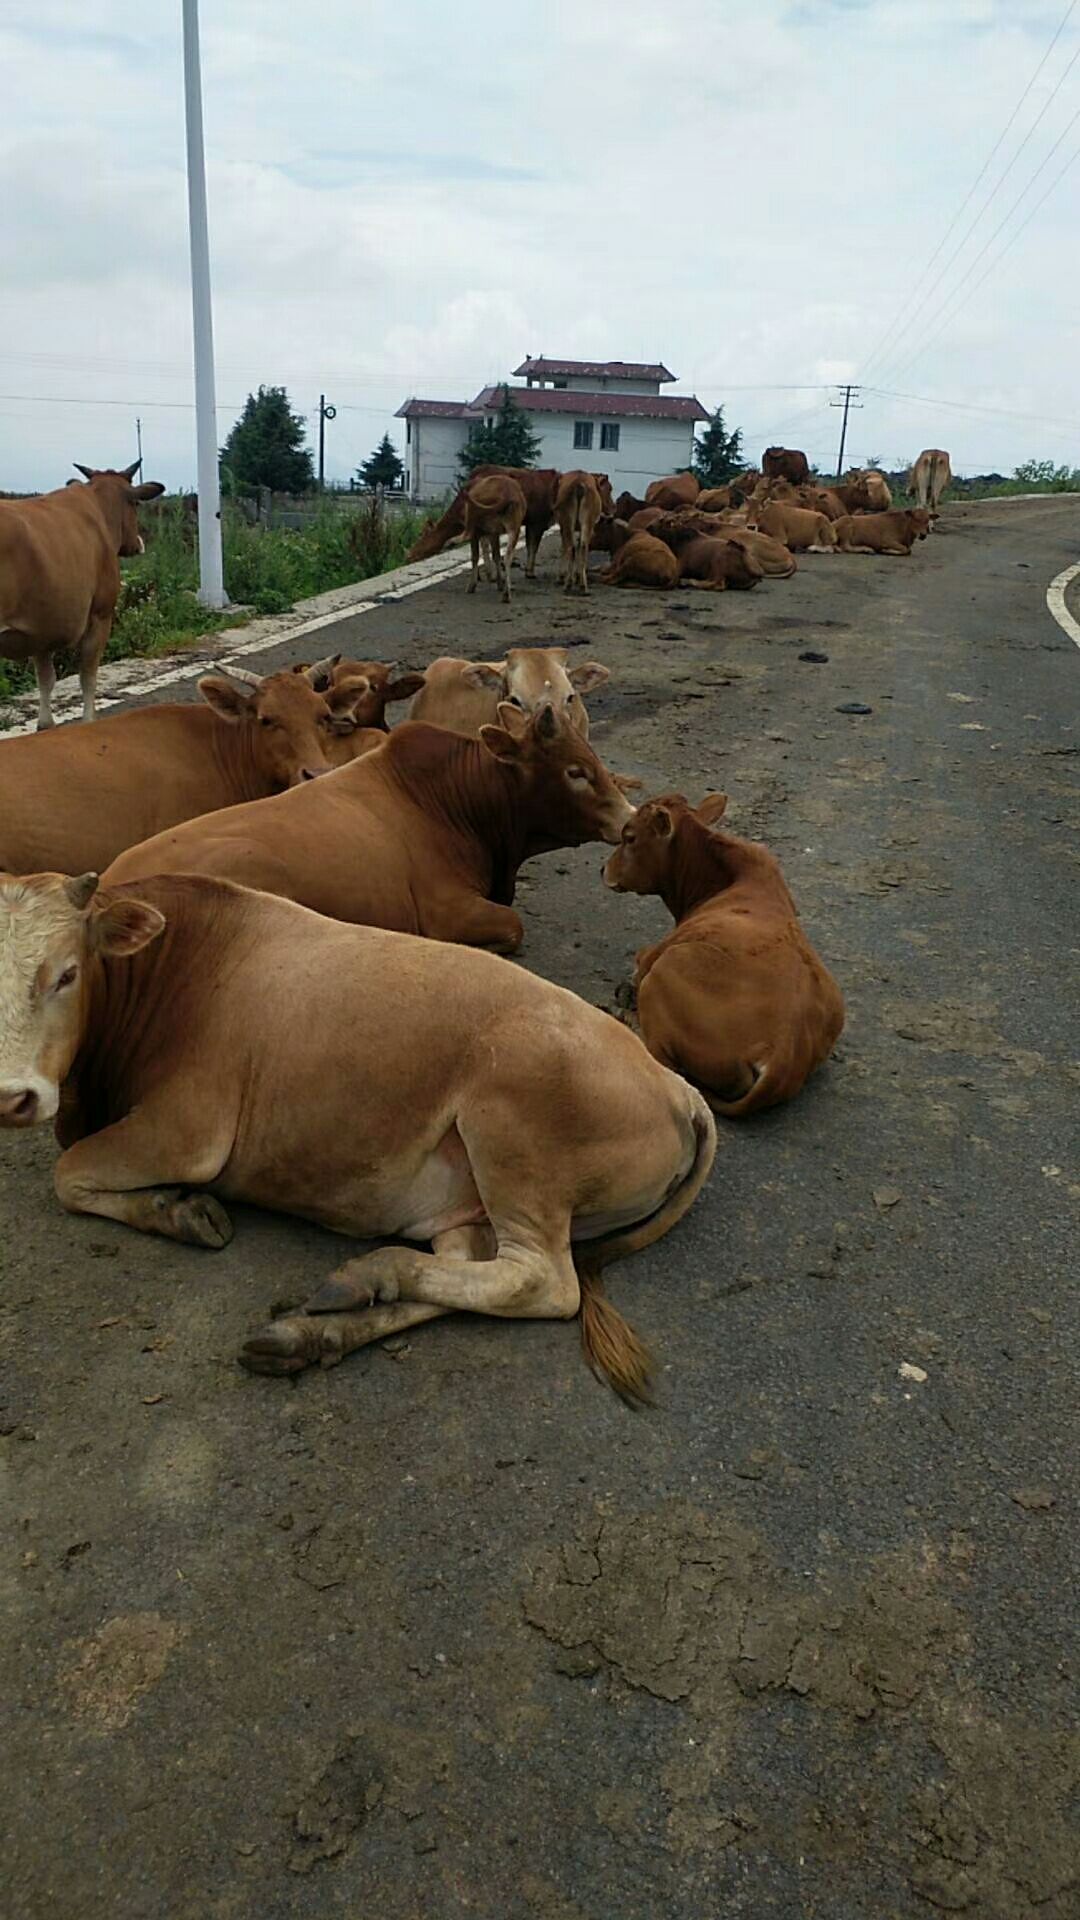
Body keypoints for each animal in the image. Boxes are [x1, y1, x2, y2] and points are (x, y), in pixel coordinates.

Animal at [0, 462, 164, 725]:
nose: (139, 543)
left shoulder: (42, 628)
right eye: (136, 504)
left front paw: (45, 725)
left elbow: (46, 680)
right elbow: (87, 676)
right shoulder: (100, 615)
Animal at [0, 871, 714, 1397]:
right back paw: (314, 1330)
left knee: (540, 1282)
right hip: (467, 1205)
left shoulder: (186, 1133)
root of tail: (676, 1086)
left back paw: (365, 1275)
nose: (12, 1097)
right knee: (469, 1271)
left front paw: (177, 1210)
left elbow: (68, 1176)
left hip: (514, 1134)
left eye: (67, 973)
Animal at [607, 791, 841, 1121]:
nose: (604, 870)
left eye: (629, 837)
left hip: (663, 973)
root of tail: (781, 1050)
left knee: (662, 1059)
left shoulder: (651, 957)